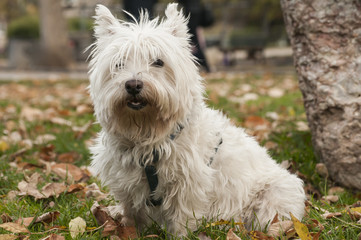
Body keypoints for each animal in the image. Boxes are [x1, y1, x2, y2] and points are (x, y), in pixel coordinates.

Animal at [88, 3, 304, 235]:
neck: (148, 133)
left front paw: (180, 235)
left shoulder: (188, 185)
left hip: (274, 194)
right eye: (119, 63)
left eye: (158, 62)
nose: (133, 85)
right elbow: (132, 214)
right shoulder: (127, 184)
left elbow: (182, 219)